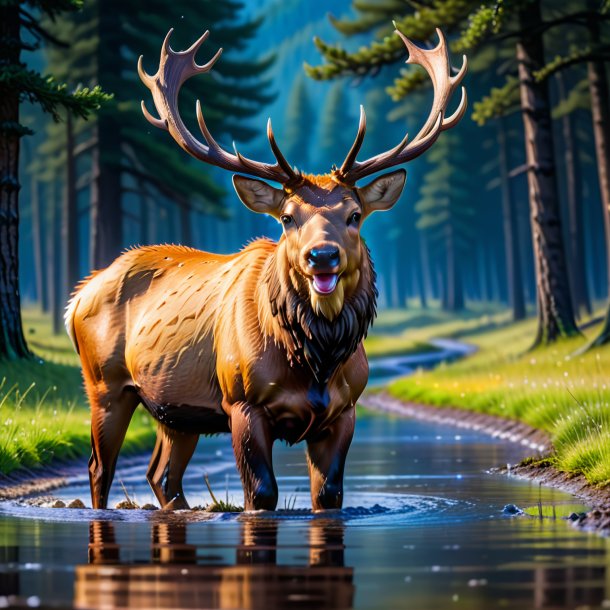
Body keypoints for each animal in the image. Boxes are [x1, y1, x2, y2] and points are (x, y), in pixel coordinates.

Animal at [65, 25, 466, 508]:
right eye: (288, 217)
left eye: (354, 214)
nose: (322, 256)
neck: (315, 361)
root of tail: (77, 296)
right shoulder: (243, 402)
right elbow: (260, 494)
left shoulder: (345, 411)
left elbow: (329, 495)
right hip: (104, 385)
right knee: (99, 469)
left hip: (175, 409)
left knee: (161, 474)